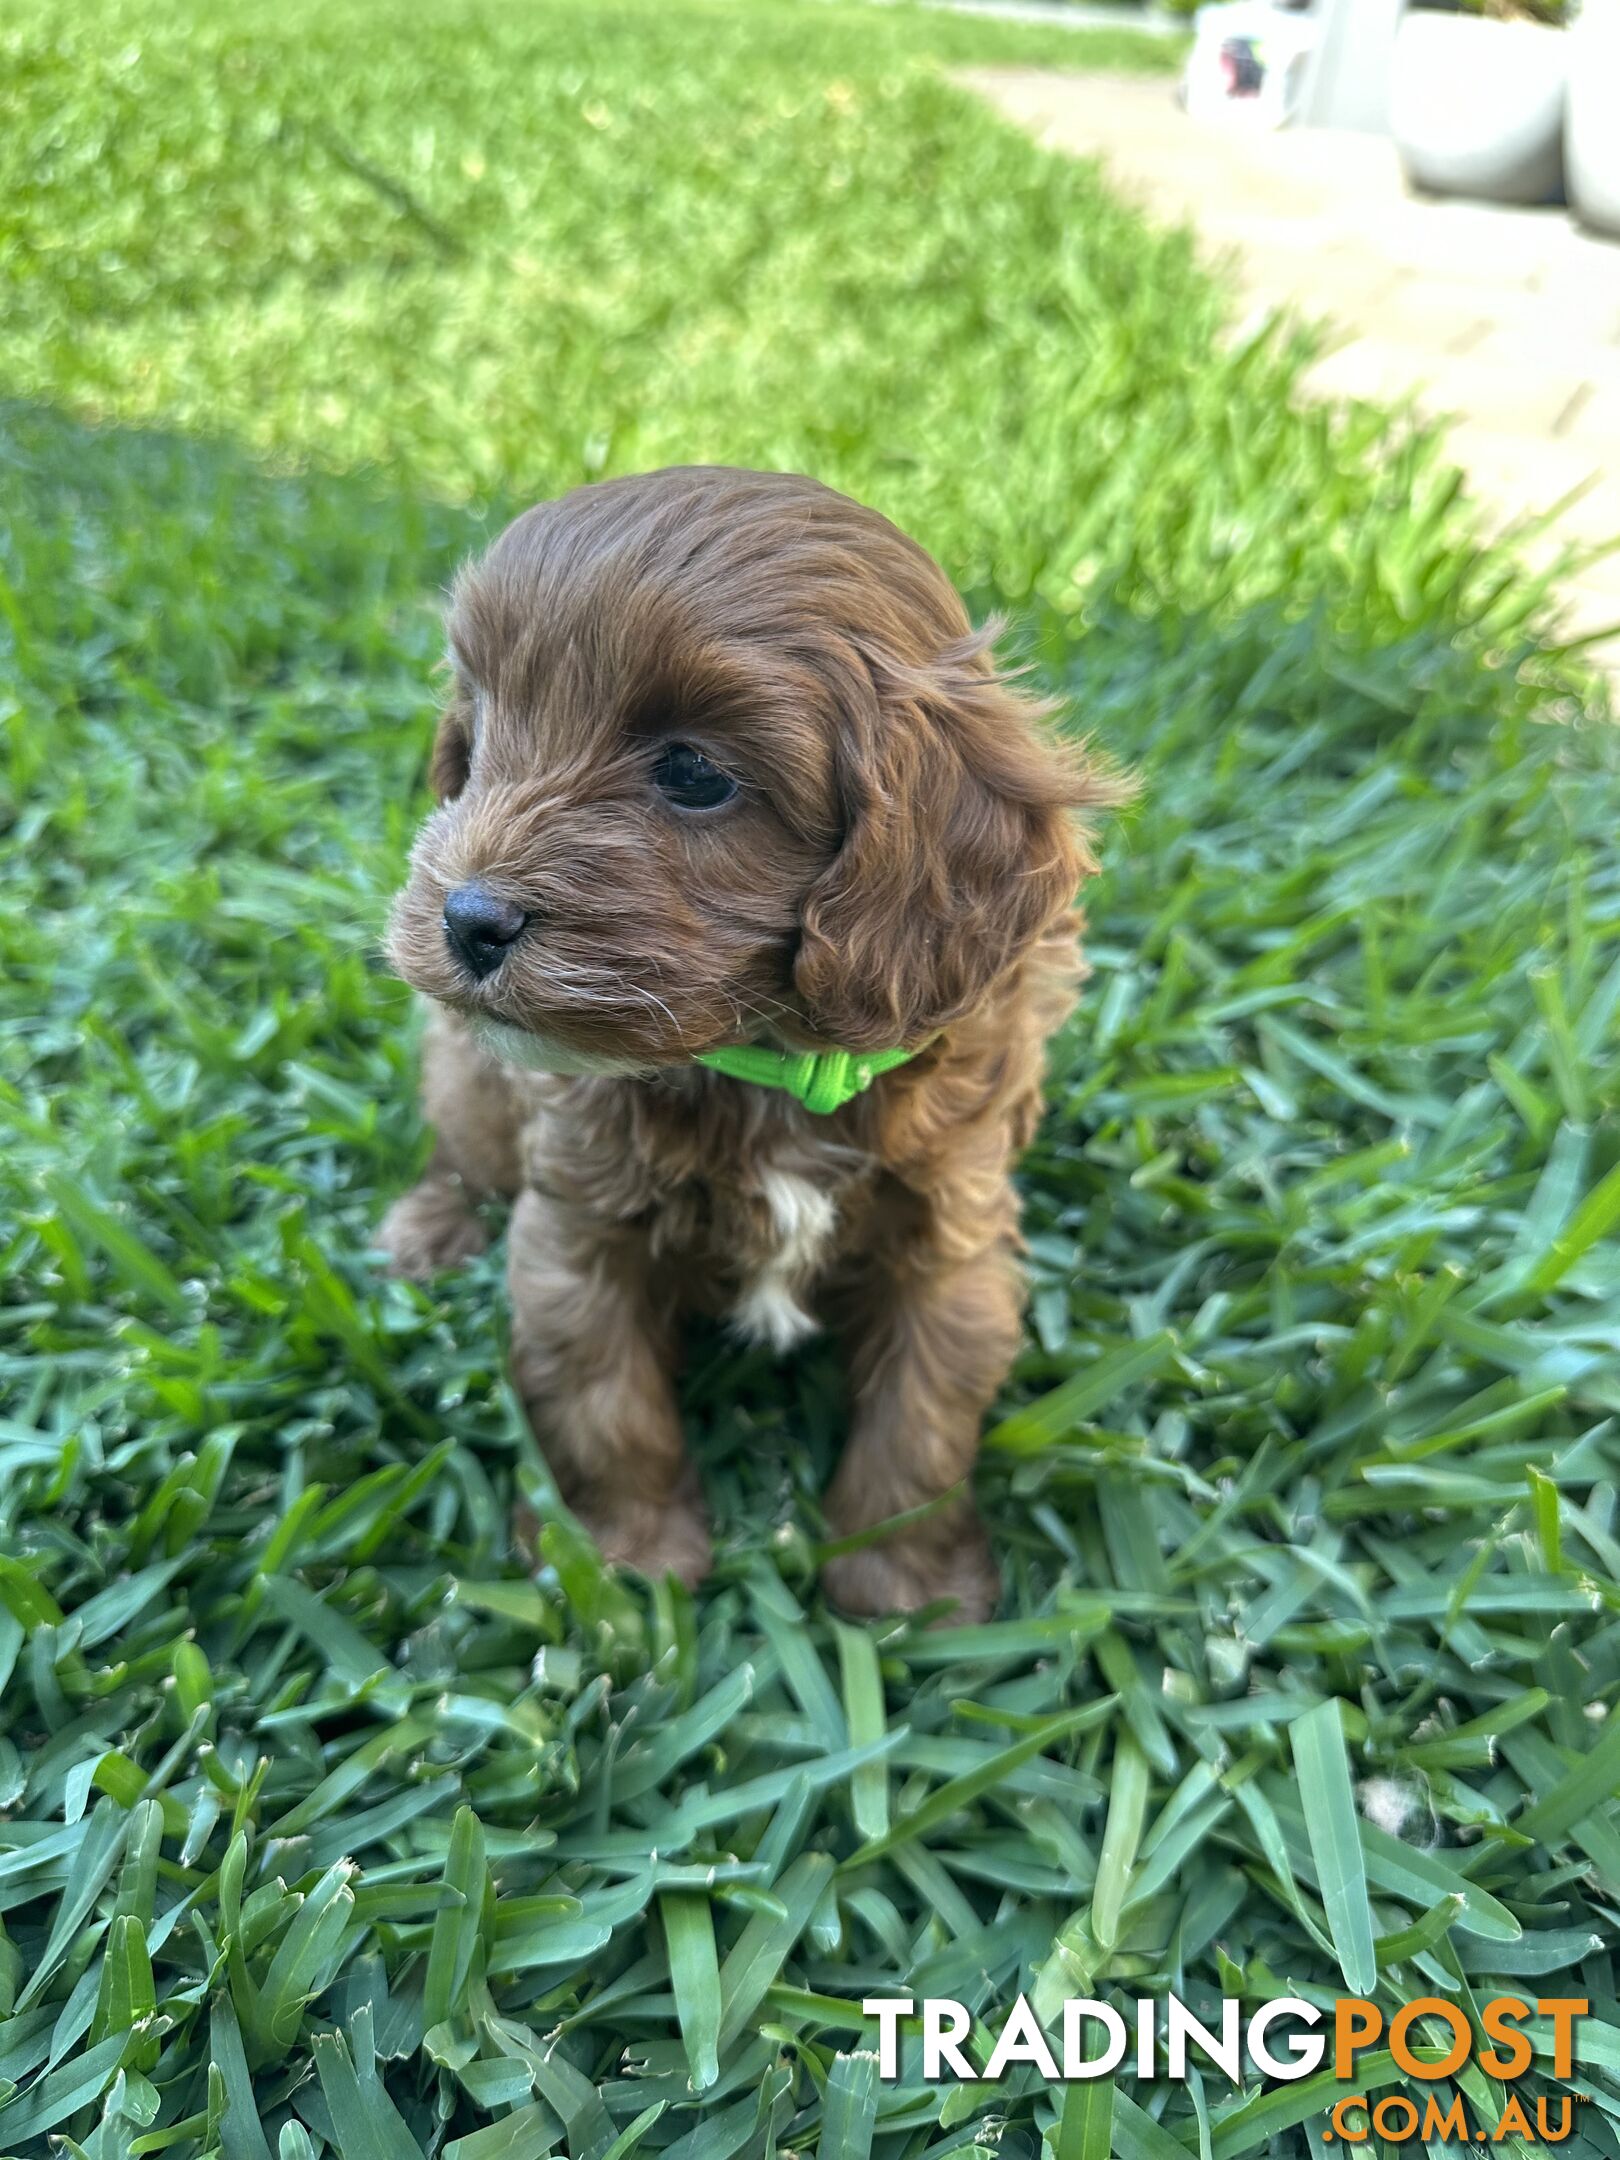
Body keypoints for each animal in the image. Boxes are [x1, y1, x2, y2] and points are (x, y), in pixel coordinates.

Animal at [384, 473, 1114, 1624]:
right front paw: (624, 1565)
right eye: (488, 724)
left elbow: (923, 1421)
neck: (771, 1059)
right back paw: (427, 1228)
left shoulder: (953, 1242)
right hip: (468, 1075)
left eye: (692, 772)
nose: (467, 919)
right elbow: (605, 1405)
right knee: (460, 1147)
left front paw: (905, 1591)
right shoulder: (579, 1228)